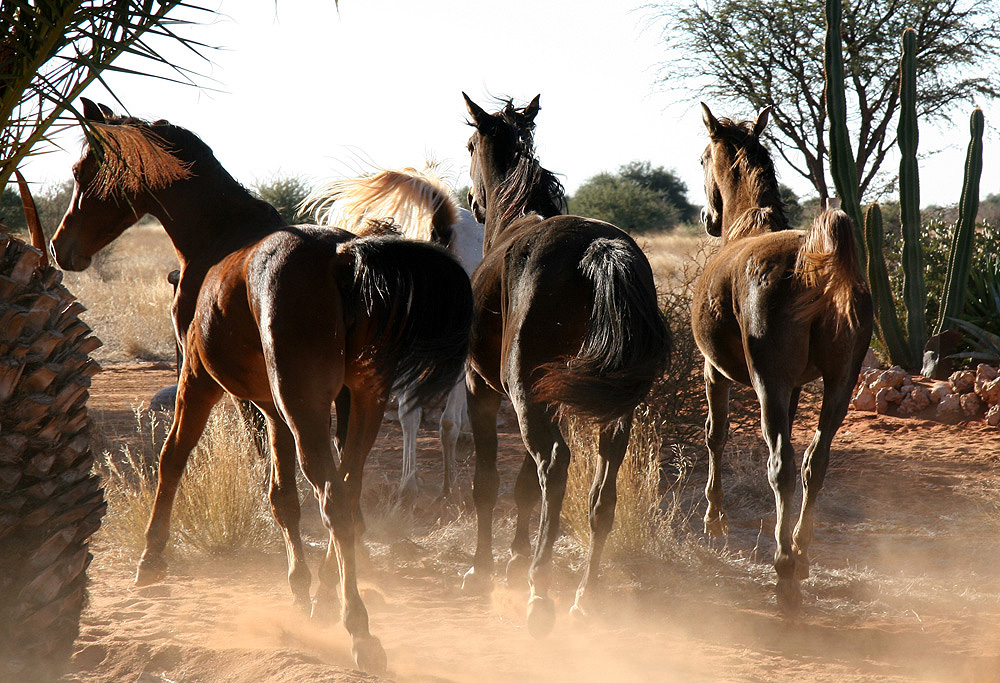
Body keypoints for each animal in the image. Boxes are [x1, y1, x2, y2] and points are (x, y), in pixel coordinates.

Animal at [462, 93, 672, 640]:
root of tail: (597, 249)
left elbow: (488, 482)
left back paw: (542, 594)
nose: (471, 201)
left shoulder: (482, 389)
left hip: (526, 397)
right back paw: (583, 596)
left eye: (469, 144)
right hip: (612, 413)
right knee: (601, 497)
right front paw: (514, 561)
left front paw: (484, 568)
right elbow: (522, 488)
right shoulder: (549, 402)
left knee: (554, 466)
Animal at [696, 104, 876, 616]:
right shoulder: (797, 386)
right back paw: (802, 550)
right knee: (815, 462)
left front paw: (714, 520)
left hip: (769, 385)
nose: (707, 217)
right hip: (840, 384)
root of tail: (816, 266)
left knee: (781, 465)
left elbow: (715, 436)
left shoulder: (715, 371)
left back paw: (784, 570)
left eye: (702, 160)